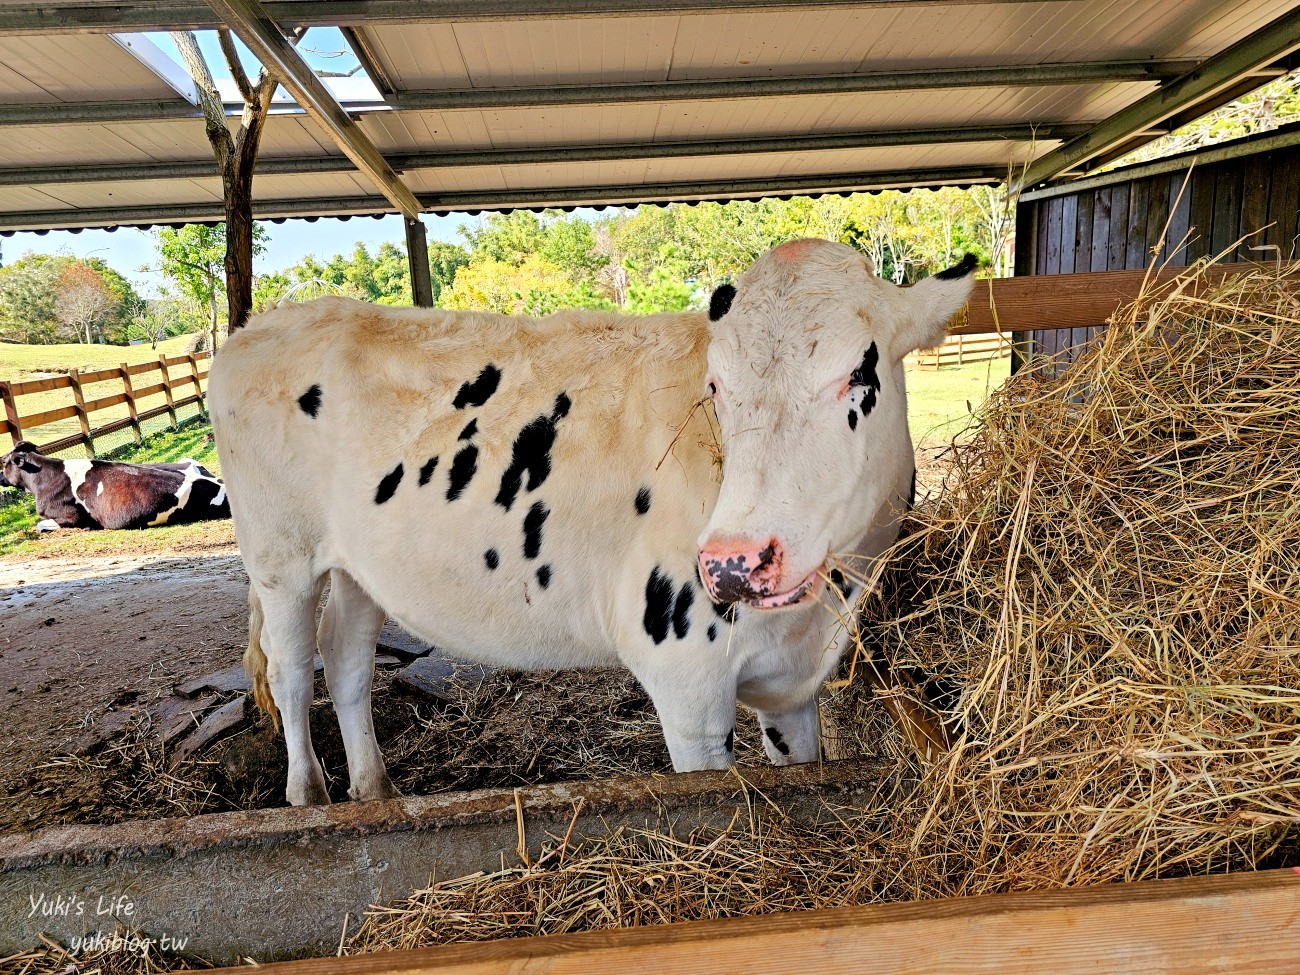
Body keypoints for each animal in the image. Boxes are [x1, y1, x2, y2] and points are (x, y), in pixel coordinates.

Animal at [208, 240, 977, 806]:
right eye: (717, 385)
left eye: (859, 375)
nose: (733, 563)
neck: (821, 611)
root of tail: (262, 323)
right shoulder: (685, 680)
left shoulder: (793, 685)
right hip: (279, 559)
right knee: (290, 672)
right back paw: (307, 797)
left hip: (359, 563)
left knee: (345, 657)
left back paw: (372, 790)